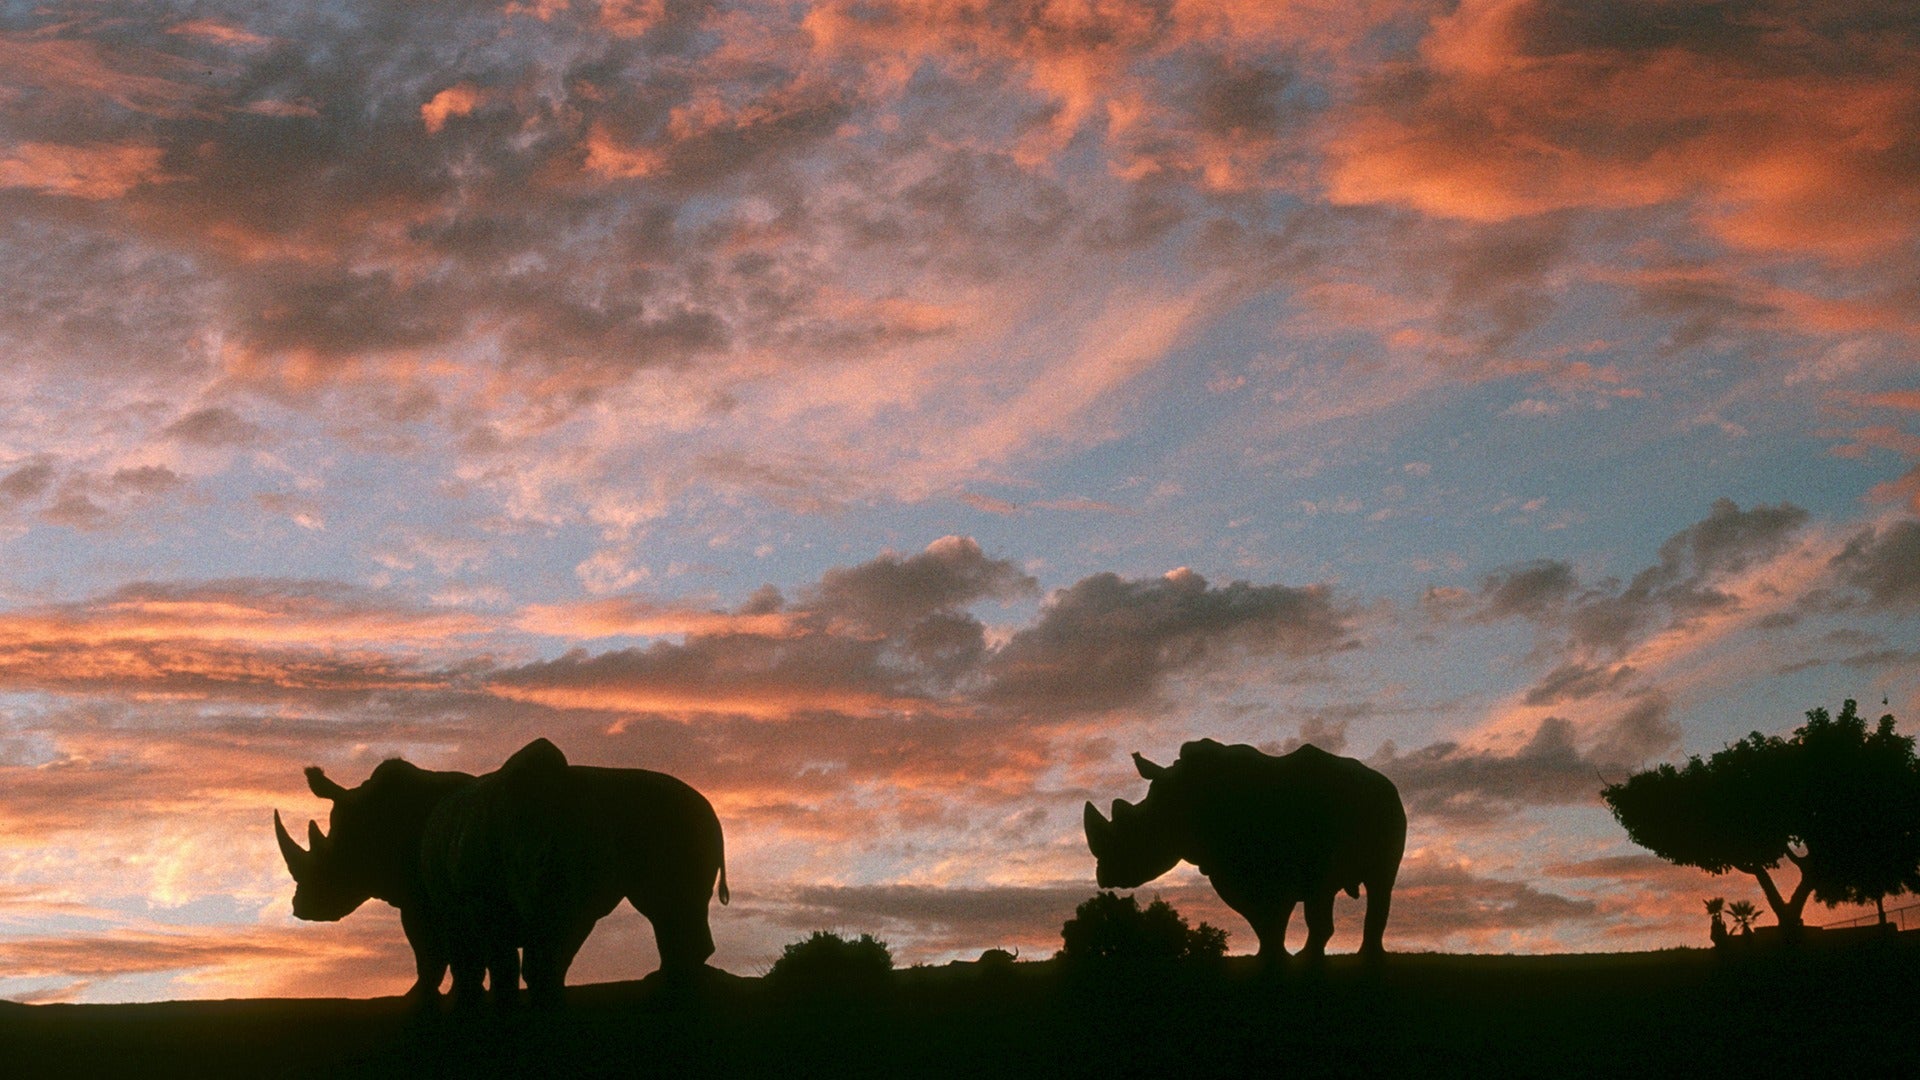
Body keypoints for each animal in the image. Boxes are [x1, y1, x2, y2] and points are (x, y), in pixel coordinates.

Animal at [276, 738, 729, 1005]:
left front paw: (423, 999)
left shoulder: (423, 900)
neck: (373, 820)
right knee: (669, 908)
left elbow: (434, 951)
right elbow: (465, 956)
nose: (302, 908)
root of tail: (711, 808)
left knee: (665, 906)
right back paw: (670, 982)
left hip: (674, 818)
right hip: (678, 819)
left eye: (330, 860)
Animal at [1083, 740, 1405, 961]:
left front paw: (1293, 959)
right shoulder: (1227, 865)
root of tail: (1382, 779)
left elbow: (1290, 910)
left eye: (1137, 831)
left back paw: (1361, 957)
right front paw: (1270, 957)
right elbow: (1261, 918)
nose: (1104, 876)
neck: (1179, 803)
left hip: (1386, 804)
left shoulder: (1292, 863)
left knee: (1377, 883)